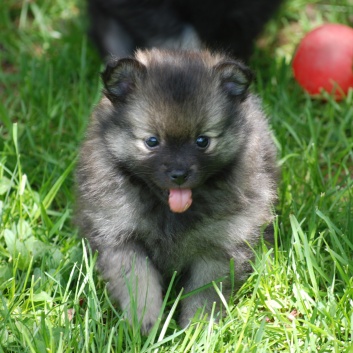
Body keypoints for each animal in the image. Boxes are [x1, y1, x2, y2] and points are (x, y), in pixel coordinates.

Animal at [76, 48, 278, 332]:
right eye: (152, 141)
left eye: (202, 141)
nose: (179, 174)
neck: (169, 213)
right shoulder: (121, 238)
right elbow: (139, 284)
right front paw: (145, 323)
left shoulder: (217, 248)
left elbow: (203, 297)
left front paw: (197, 331)